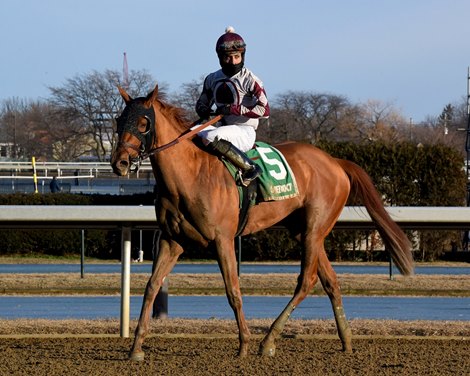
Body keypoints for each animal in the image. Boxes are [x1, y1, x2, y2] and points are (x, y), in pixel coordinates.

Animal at [111, 84, 414, 362]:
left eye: (143, 122)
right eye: (118, 121)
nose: (119, 163)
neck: (190, 174)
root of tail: (335, 161)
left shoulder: (222, 239)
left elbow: (233, 290)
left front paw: (243, 344)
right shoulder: (171, 239)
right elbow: (151, 286)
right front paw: (136, 348)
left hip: (314, 229)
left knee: (306, 280)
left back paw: (267, 341)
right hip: (302, 231)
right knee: (330, 281)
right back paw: (346, 341)